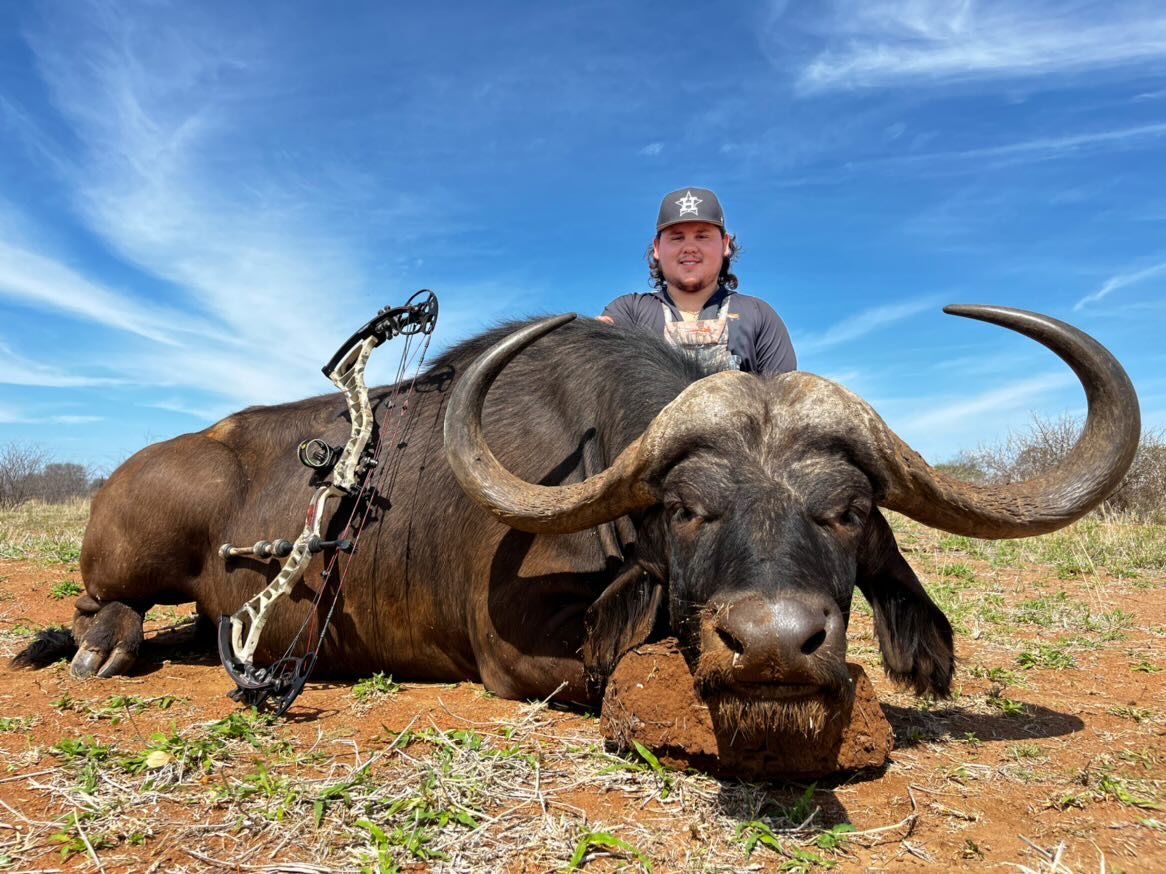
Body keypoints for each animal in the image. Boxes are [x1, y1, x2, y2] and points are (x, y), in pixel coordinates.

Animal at [24, 305, 1139, 732]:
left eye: (849, 512)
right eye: (686, 509)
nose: (775, 644)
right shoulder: (519, 656)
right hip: (131, 550)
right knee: (100, 608)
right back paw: (101, 647)